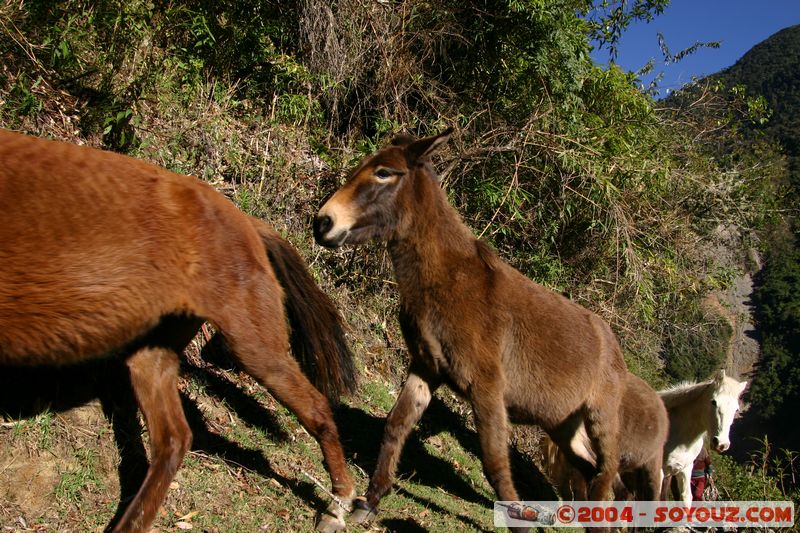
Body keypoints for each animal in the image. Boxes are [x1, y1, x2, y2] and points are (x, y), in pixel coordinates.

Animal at [0, 129, 356, 532]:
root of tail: (246, 220)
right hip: (154, 352)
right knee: (173, 439)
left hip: (253, 345)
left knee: (316, 408)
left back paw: (339, 504)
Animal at [316, 130, 628, 524]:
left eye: (384, 172)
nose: (322, 223)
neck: (447, 278)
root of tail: (613, 342)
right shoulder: (426, 367)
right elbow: (395, 425)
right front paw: (369, 501)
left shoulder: (487, 385)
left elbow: (494, 462)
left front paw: (518, 520)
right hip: (562, 423)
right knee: (590, 469)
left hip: (602, 416)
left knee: (606, 473)